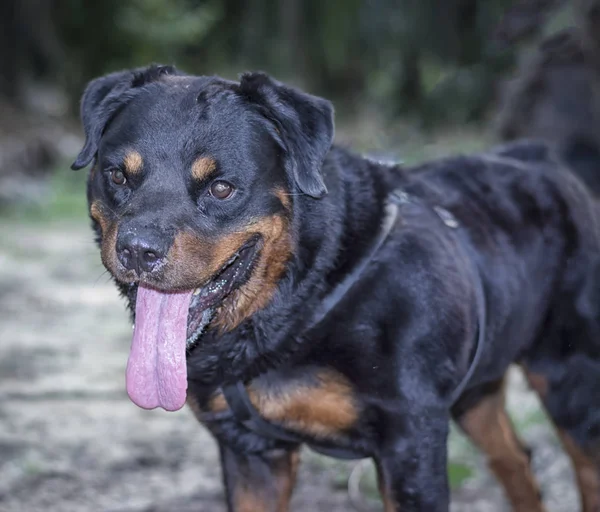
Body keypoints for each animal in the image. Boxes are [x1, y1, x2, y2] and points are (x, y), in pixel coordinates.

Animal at [71, 65, 600, 512]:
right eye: (117, 175)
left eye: (221, 188)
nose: (138, 249)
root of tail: (537, 157)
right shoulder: (250, 453)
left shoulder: (411, 446)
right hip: (477, 388)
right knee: (516, 461)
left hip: (571, 379)